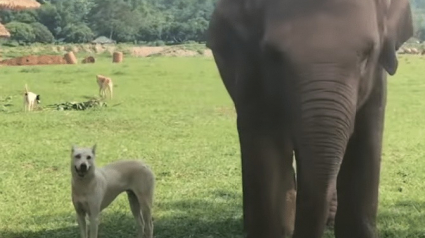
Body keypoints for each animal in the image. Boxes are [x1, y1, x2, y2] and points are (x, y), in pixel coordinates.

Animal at [205, 0, 410, 238]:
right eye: (274, 56)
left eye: (367, 55)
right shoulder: (249, 72)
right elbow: (263, 144)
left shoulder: (377, 81)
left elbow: (366, 141)